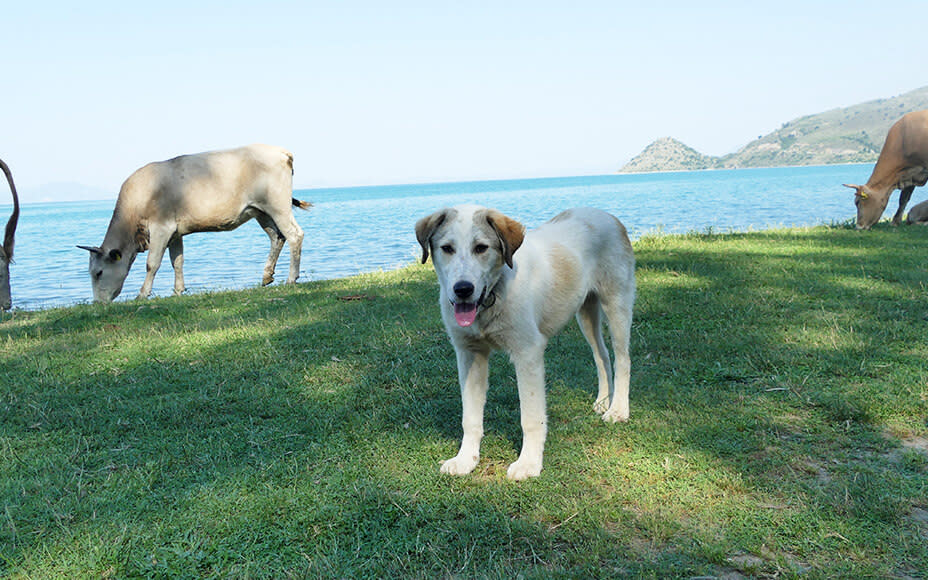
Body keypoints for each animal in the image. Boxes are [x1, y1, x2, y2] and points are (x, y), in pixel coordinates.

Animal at [80, 144, 312, 304]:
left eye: (98, 272)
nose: (97, 303)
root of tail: (280, 151)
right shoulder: (174, 232)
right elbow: (177, 261)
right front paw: (178, 290)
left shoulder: (161, 227)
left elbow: (152, 263)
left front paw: (142, 294)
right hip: (260, 210)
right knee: (277, 237)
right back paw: (266, 276)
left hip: (277, 205)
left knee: (294, 234)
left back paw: (291, 278)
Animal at [416, 205, 636, 480]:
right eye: (447, 248)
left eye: (481, 248)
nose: (462, 289)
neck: (494, 295)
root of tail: (606, 214)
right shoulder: (469, 353)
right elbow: (470, 417)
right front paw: (466, 459)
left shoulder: (527, 353)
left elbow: (530, 417)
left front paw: (528, 463)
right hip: (586, 311)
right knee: (602, 356)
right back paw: (604, 401)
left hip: (617, 303)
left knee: (622, 359)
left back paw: (618, 410)